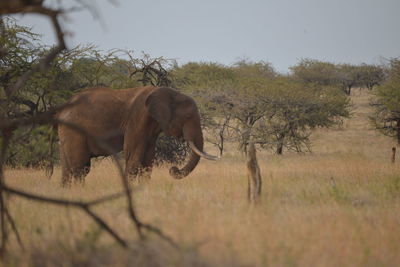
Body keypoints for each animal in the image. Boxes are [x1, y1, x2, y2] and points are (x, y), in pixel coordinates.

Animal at [55, 86, 219, 186]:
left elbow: (148, 160)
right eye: (188, 116)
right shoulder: (137, 119)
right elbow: (133, 156)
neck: (170, 93)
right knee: (81, 167)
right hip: (74, 131)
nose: (173, 169)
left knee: (67, 168)